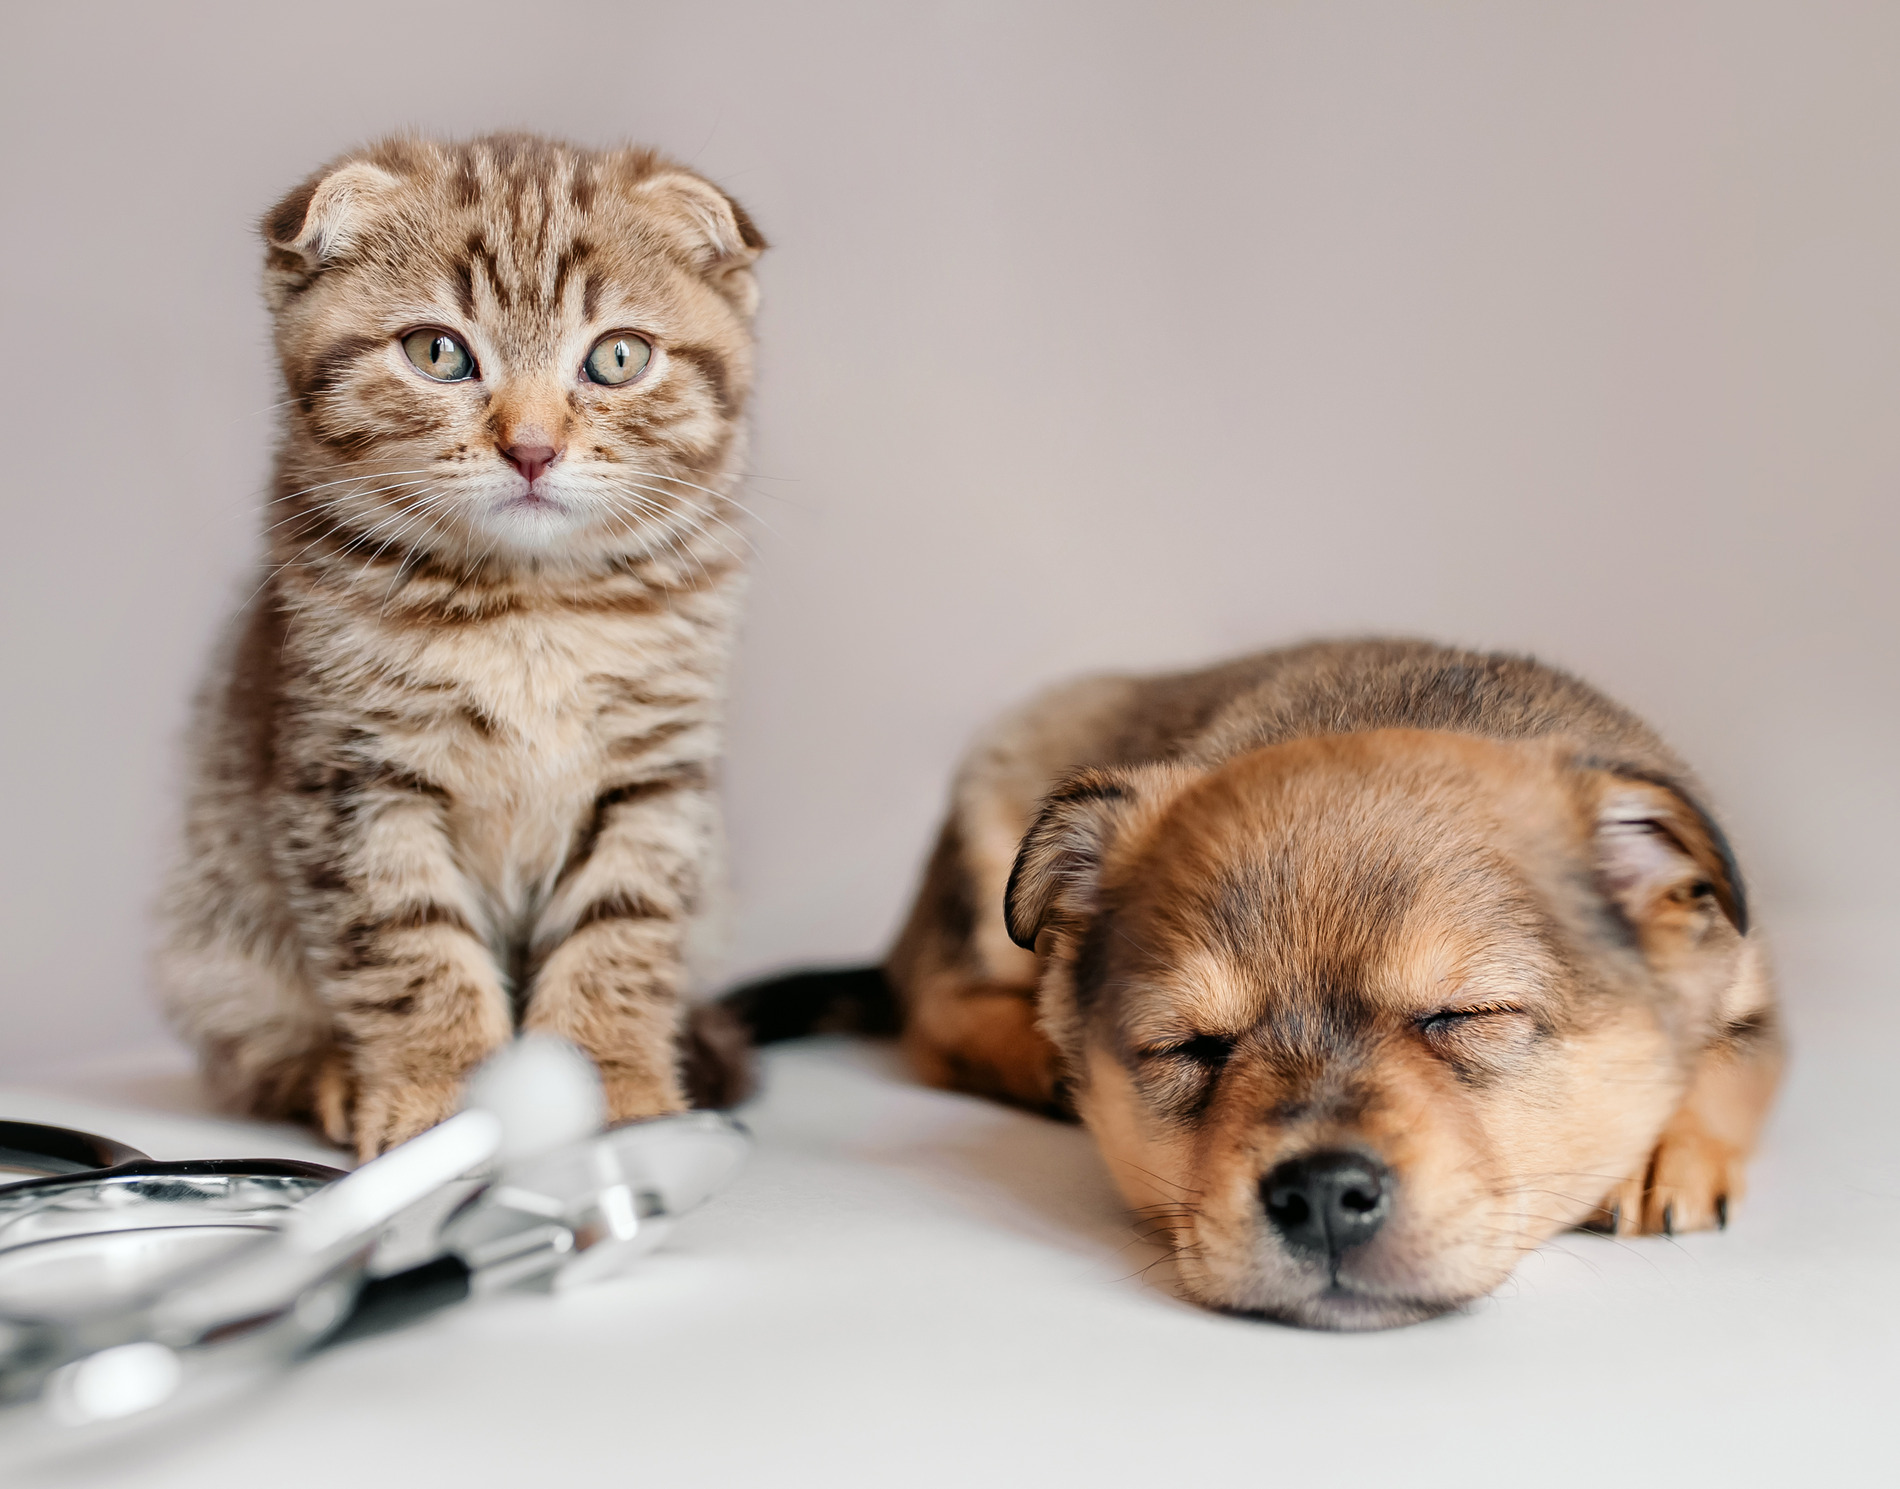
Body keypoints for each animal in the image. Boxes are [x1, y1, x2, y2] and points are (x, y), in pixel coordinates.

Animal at [157, 133, 763, 1154]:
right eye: (438, 352)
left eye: (618, 356)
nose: (531, 447)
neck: (530, 608)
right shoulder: (353, 779)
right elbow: (407, 941)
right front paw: (442, 1099)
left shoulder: (655, 776)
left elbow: (622, 931)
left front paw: (618, 1088)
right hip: (214, 936)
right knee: (251, 1049)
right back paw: (326, 1074)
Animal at [729, 638, 1778, 1329]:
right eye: (1189, 1046)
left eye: (1465, 1016)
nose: (1320, 1195)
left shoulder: (1751, 985)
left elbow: (1731, 1059)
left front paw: (1661, 1149)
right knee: (936, 1013)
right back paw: (1034, 1056)